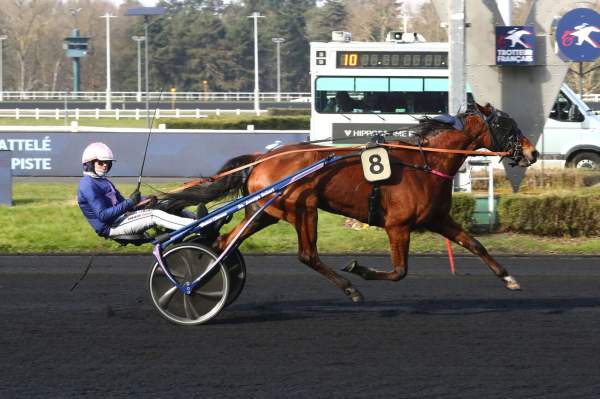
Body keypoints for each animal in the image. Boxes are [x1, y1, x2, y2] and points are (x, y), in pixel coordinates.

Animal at [164, 104, 540, 304]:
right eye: (506, 124)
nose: (533, 152)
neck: (425, 161)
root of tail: (261, 157)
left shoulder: (437, 219)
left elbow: (476, 245)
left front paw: (509, 279)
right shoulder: (398, 226)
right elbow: (399, 271)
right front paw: (360, 269)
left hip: (267, 212)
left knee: (224, 242)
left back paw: (204, 282)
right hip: (302, 208)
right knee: (307, 255)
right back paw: (349, 288)